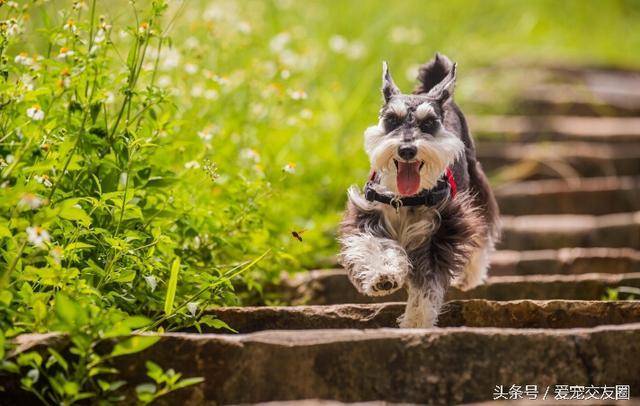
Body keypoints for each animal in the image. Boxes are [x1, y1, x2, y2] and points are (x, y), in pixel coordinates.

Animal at [340, 53, 500, 326]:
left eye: (429, 123)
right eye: (391, 119)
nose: (407, 150)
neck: (406, 198)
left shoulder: (441, 232)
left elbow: (427, 284)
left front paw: (416, 322)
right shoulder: (367, 216)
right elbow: (375, 246)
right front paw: (383, 276)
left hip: (476, 185)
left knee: (482, 231)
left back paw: (470, 275)